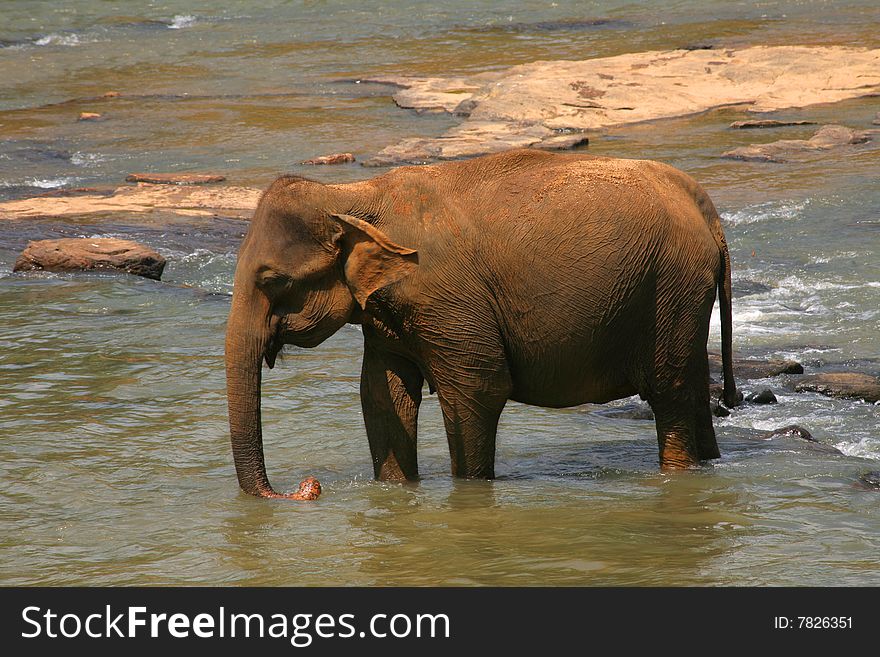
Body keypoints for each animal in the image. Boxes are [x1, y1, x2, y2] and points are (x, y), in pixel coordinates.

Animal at [225, 149, 736, 498]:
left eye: (272, 280)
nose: (305, 486)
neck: (354, 195)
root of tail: (709, 213)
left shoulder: (444, 295)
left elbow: (477, 388)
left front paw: (470, 497)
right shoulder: (386, 311)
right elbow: (382, 395)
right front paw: (396, 492)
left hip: (671, 285)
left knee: (668, 391)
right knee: (693, 388)